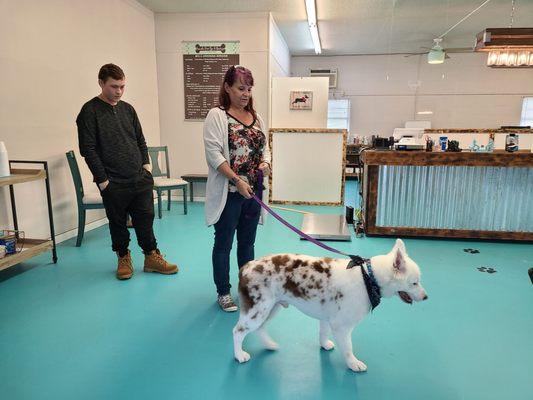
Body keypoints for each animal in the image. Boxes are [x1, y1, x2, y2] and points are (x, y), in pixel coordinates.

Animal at [233, 238, 428, 372]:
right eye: (414, 283)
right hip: (258, 309)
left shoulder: (327, 318)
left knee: (260, 328)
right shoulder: (342, 326)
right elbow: (348, 348)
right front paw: (353, 364)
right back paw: (239, 355)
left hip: (271, 308)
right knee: (238, 331)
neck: (368, 278)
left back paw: (269, 344)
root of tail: (245, 267)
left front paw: (325, 345)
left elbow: (323, 333)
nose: (426, 297)